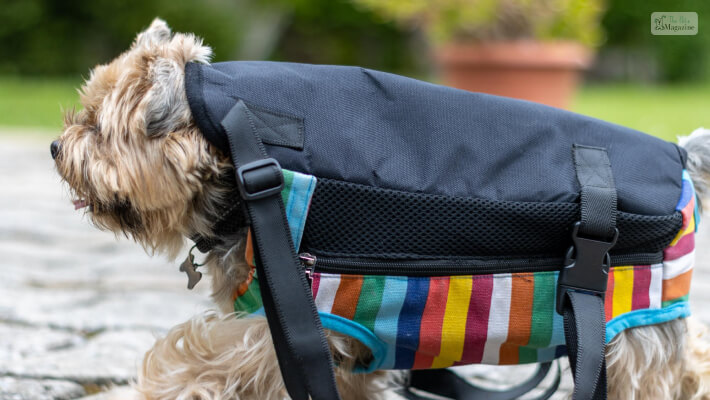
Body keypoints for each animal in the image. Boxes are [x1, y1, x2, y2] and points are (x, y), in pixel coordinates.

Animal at [52, 18, 710, 400]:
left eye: (98, 126)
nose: (57, 146)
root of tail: (680, 156)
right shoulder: (347, 352)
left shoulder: (272, 331)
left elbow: (188, 363)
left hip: (630, 330)